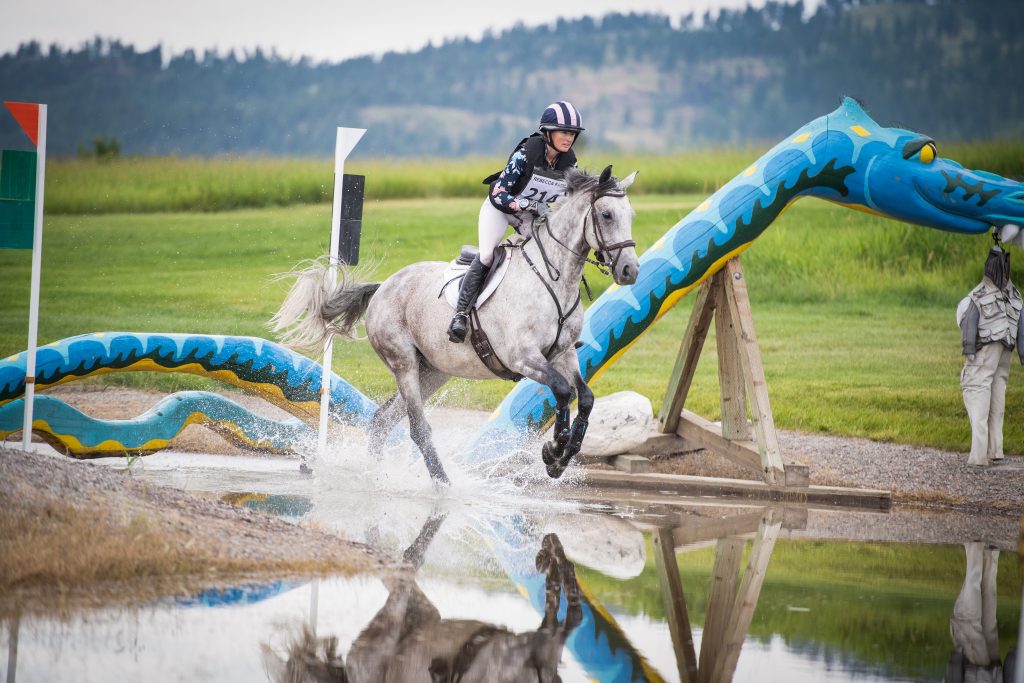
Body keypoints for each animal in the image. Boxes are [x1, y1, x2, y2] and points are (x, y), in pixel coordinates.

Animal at [270, 165, 639, 485]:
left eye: (631, 216)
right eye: (606, 215)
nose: (630, 271)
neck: (553, 278)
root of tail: (385, 285)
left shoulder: (563, 354)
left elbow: (585, 397)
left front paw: (562, 457)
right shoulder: (523, 357)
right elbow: (563, 391)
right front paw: (554, 451)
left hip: (433, 371)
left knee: (382, 421)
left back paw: (375, 475)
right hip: (404, 363)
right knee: (417, 428)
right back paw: (443, 484)